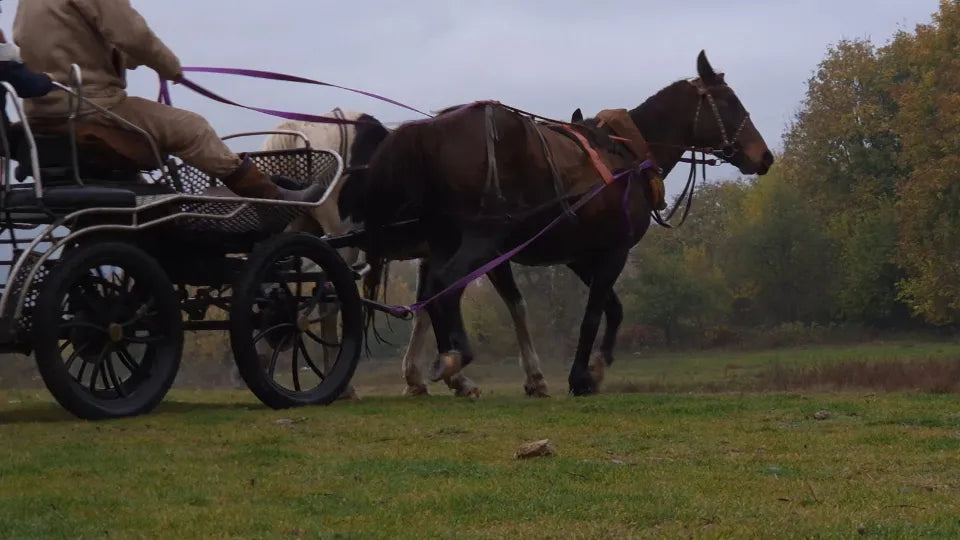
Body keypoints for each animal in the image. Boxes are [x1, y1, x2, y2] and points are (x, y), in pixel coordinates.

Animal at [352, 50, 775, 396]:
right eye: (730, 103)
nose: (765, 156)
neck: (626, 156)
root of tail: (431, 130)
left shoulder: (581, 256)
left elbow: (613, 308)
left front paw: (596, 367)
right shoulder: (613, 252)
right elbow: (592, 315)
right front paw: (580, 376)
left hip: (450, 242)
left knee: (432, 295)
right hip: (481, 239)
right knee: (445, 285)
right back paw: (455, 359)